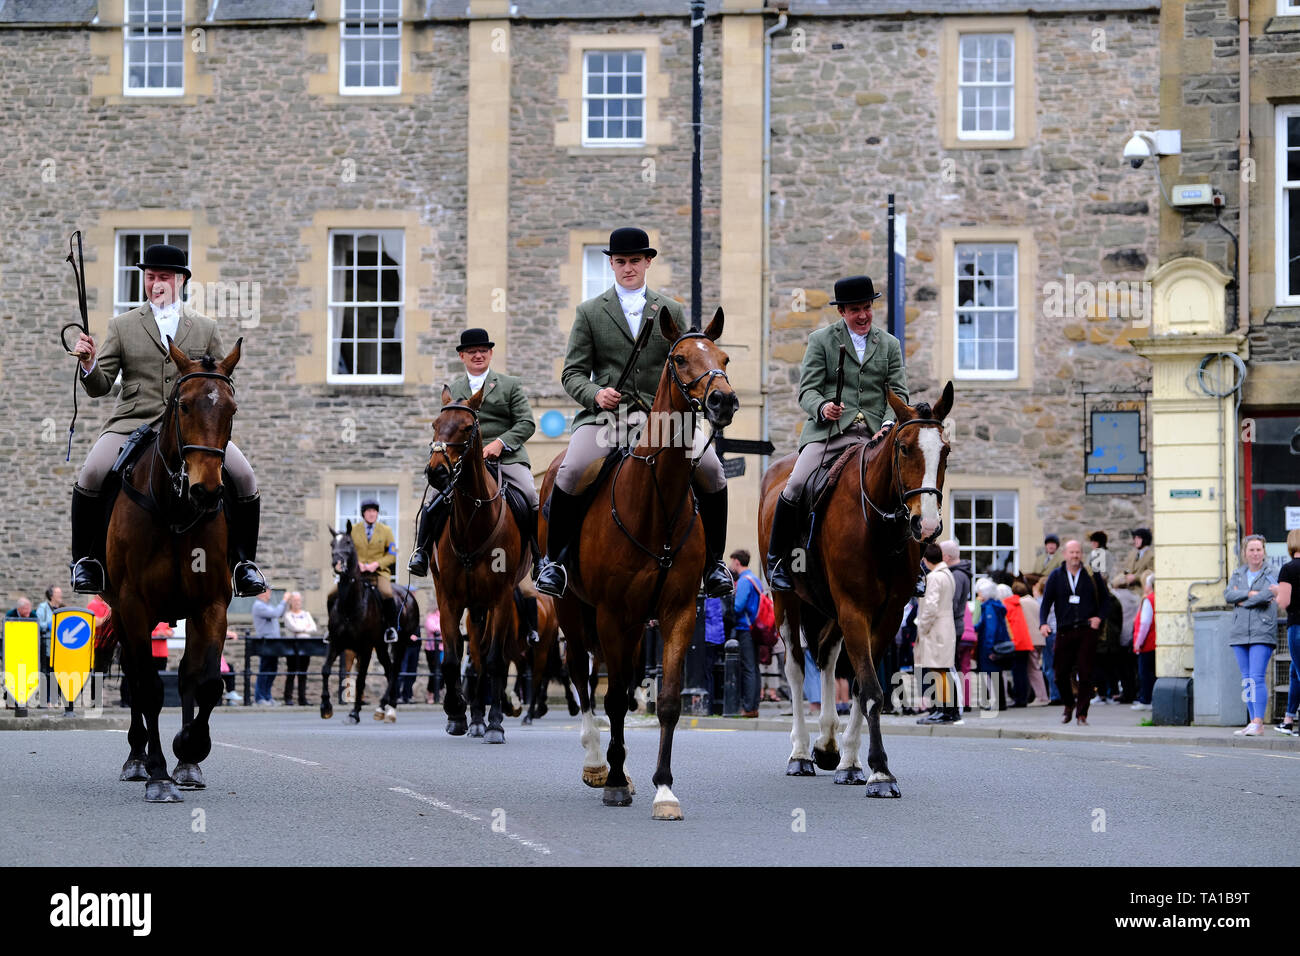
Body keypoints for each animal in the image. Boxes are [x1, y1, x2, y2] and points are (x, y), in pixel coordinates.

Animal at [105, 340, 244, 806]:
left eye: (231, 409)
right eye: (183, 406)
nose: (207, 490)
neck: (176, 510)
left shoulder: (211, 605)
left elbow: (205, 683)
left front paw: (190, 749)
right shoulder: (133, 606)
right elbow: (148, 688)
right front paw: (158, 774)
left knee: (183, 679)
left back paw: (185, 762)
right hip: (126, 614)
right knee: (135, 677)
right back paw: (137, 759)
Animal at [318, 528, 416, 723]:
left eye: (348, 542)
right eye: (332, 544)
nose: (337, 564)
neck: (350, 605)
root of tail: (408, 595)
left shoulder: (365, 648)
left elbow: (361, 679)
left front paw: (354, 712)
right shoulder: (336, 644)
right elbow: (325, 670)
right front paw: (325, 707)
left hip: (400, 643)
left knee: (394, 670)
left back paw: (387, 707)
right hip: (381, 646)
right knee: (388, 669)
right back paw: (386, 707)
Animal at [423, 385, 530, 743]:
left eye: (467, 427)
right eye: (435, 425)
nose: (437, 472)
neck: (473, 521)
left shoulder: (500, 599)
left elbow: (496, 661)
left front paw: (496, 723)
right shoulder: (449, 600)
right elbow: (452, 661)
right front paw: (456, 712)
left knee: (488, 658)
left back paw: (487, 721)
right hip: (474, 607)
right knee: (475, 661)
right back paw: (474, 720)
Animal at [540, 310, 743, 816]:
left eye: (725, 357)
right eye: (681, 358)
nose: (724, 400)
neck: (657, 499)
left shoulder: (676, 612)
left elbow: (665, 699)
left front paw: (663, 789)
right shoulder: (612, 613)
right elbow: (612, 698)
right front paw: (613, 781)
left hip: (632, 626)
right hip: (575, 611)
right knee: (581, 677)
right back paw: (598, 763)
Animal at [754, 382, 956, 801]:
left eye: (944, 450)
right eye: (904, 448)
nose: (927, 525)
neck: (880, 526)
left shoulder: (887, 615)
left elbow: (863, 689)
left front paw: (851, 762)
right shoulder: (854, 609)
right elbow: (872, 690)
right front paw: (880, 772)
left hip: (829, 609)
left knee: (828, 660)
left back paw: (828, 745)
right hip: (787, 601)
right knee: (796, 668)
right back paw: (801, 752)